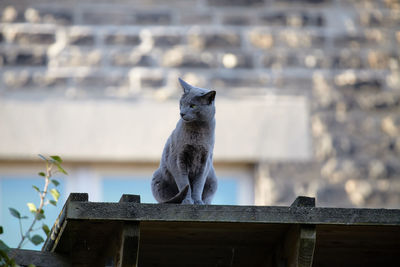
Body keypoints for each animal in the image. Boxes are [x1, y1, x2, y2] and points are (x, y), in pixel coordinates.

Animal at [151, 77, 219, 205]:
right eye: (181, 104)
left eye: (193, 106)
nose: (181, 113)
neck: (197, 133)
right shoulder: (178, 159)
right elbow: (184, 183)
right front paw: (187, 201)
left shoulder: (205, 161)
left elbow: (198, 185)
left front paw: (197, 201)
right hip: (158, 180)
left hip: (213, 180)